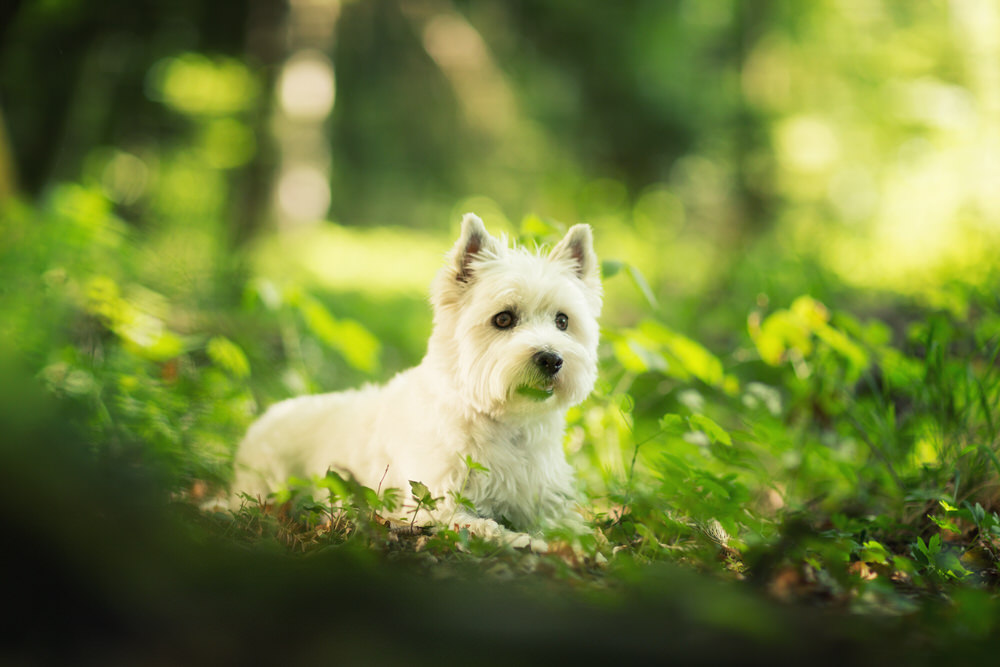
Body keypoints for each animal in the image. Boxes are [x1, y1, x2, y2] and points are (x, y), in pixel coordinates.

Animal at [229, 215, 600, 548]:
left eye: (563, 321)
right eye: (504, 318)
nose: (551, 359)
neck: (507, 426)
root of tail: (264, 417)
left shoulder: (548, 498)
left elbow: (574, 525)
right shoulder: (434, 504)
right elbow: (487, 526)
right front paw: (528, 540)